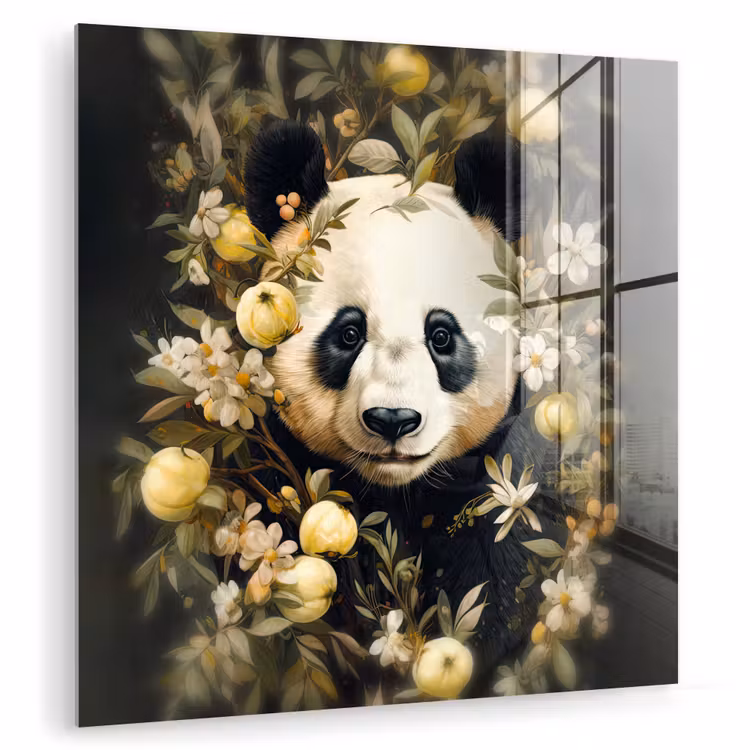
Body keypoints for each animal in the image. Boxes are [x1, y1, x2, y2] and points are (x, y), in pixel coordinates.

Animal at [243, 120, 564, 697]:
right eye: (348, 333)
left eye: (441, 335)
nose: (392, 420)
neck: (399, 495)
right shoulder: (282, 480)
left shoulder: (503, 481)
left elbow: (497, 584)